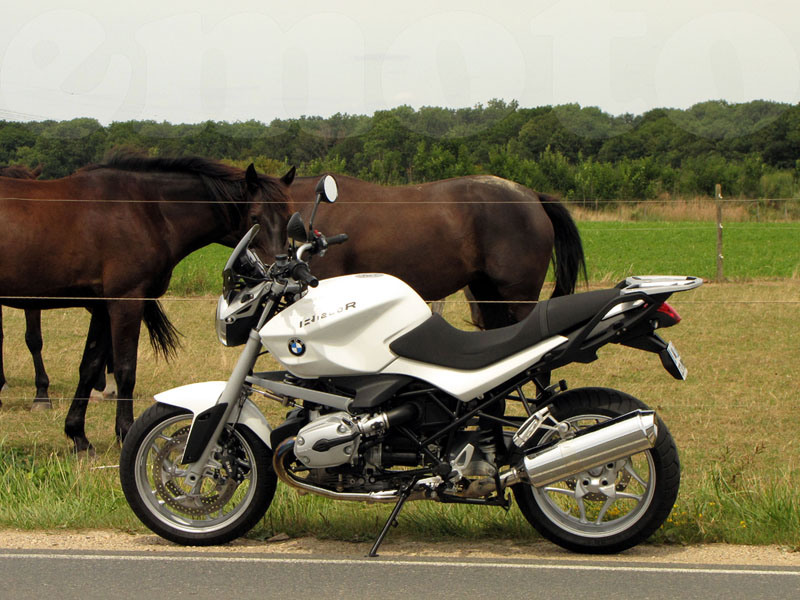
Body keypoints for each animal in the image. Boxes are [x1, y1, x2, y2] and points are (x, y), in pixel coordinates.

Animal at [0, 155, 294, 450]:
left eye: (289, 218)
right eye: (255, 217)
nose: (277, 271)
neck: (145, 210)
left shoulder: (102, 307)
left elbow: (89, 367)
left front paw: (78, 435)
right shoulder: (126, 302)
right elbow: (125, 370)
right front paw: (125, 431)